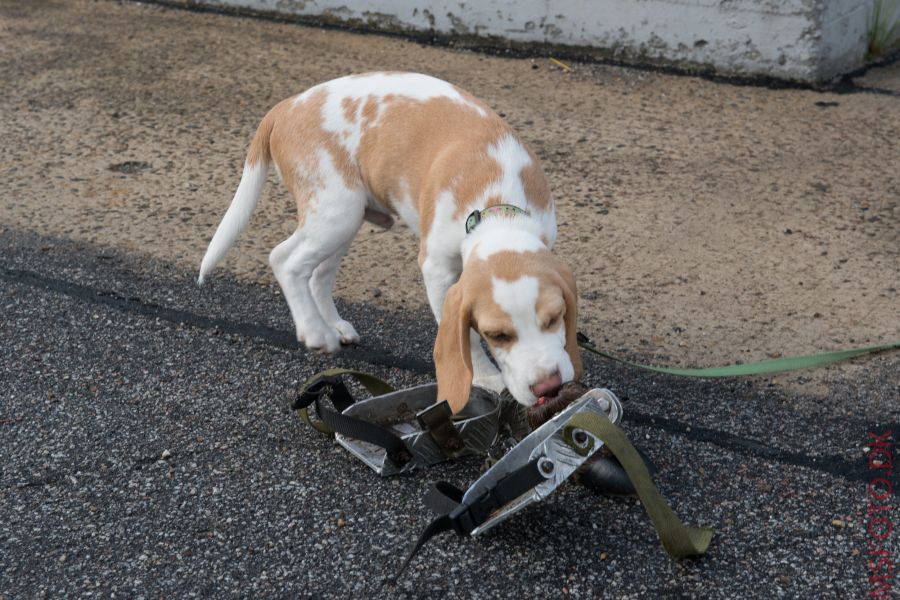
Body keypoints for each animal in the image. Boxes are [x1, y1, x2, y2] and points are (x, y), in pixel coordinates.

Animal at [199, 70, 584, 412]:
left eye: (555, 318)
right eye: (499, 335)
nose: (549, 388)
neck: (496, 210)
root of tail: (287, 106)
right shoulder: (437, 271)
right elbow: (469, 340)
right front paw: (487, 378)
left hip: (344, 219)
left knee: (317, 274)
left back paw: (332, 325)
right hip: (337, 211)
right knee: (285, 260)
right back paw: (316, 333)